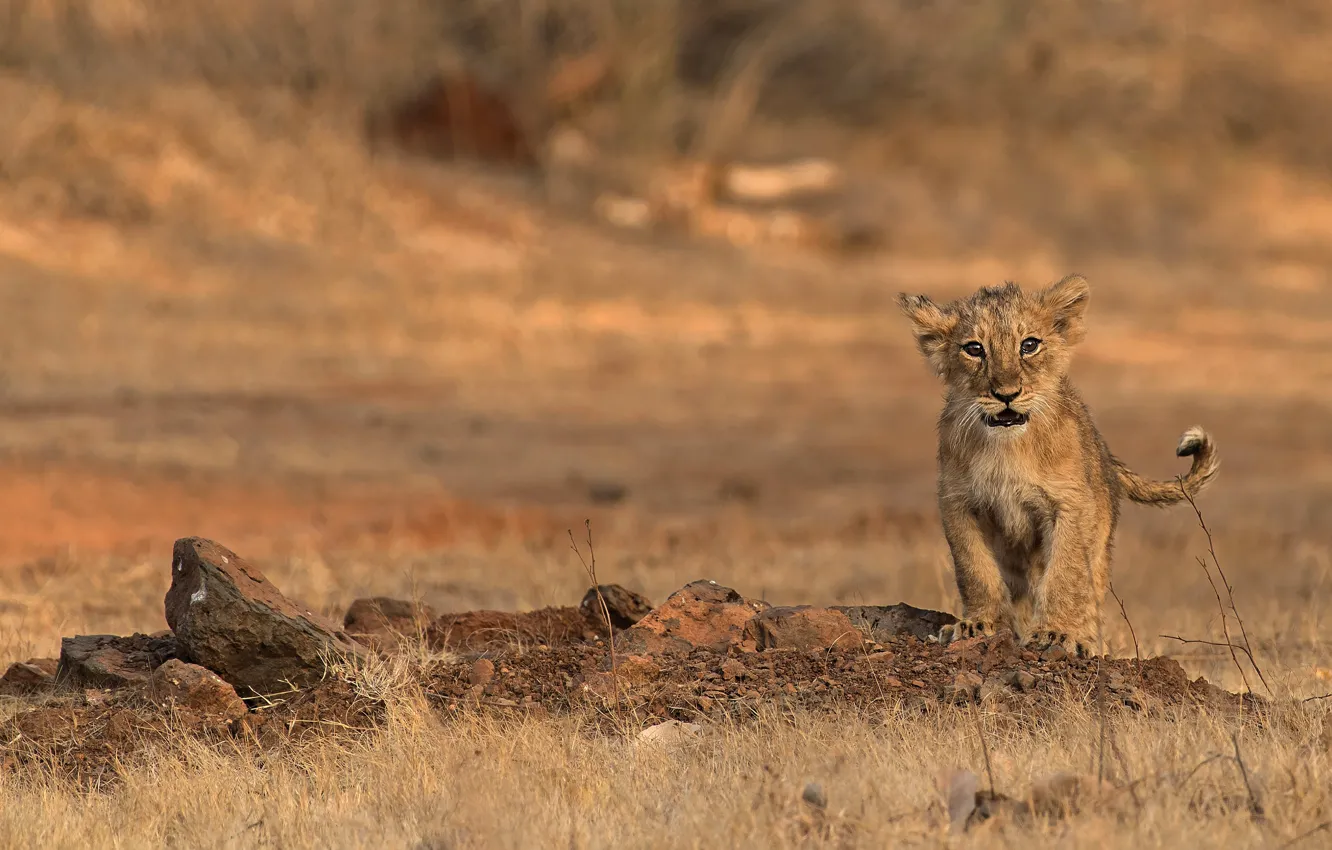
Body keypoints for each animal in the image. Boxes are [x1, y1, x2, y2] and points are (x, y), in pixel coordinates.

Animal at [897, 274, 1218, 657]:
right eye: (974, 349)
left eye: (1029, 345)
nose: (1006, 394)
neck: (1008, 448)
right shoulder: (958, 503)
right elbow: (975, 567)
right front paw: (980, 624)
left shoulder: (1070, 504)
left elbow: (1066, 572)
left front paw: (1057, 633)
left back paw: (1086, 640)